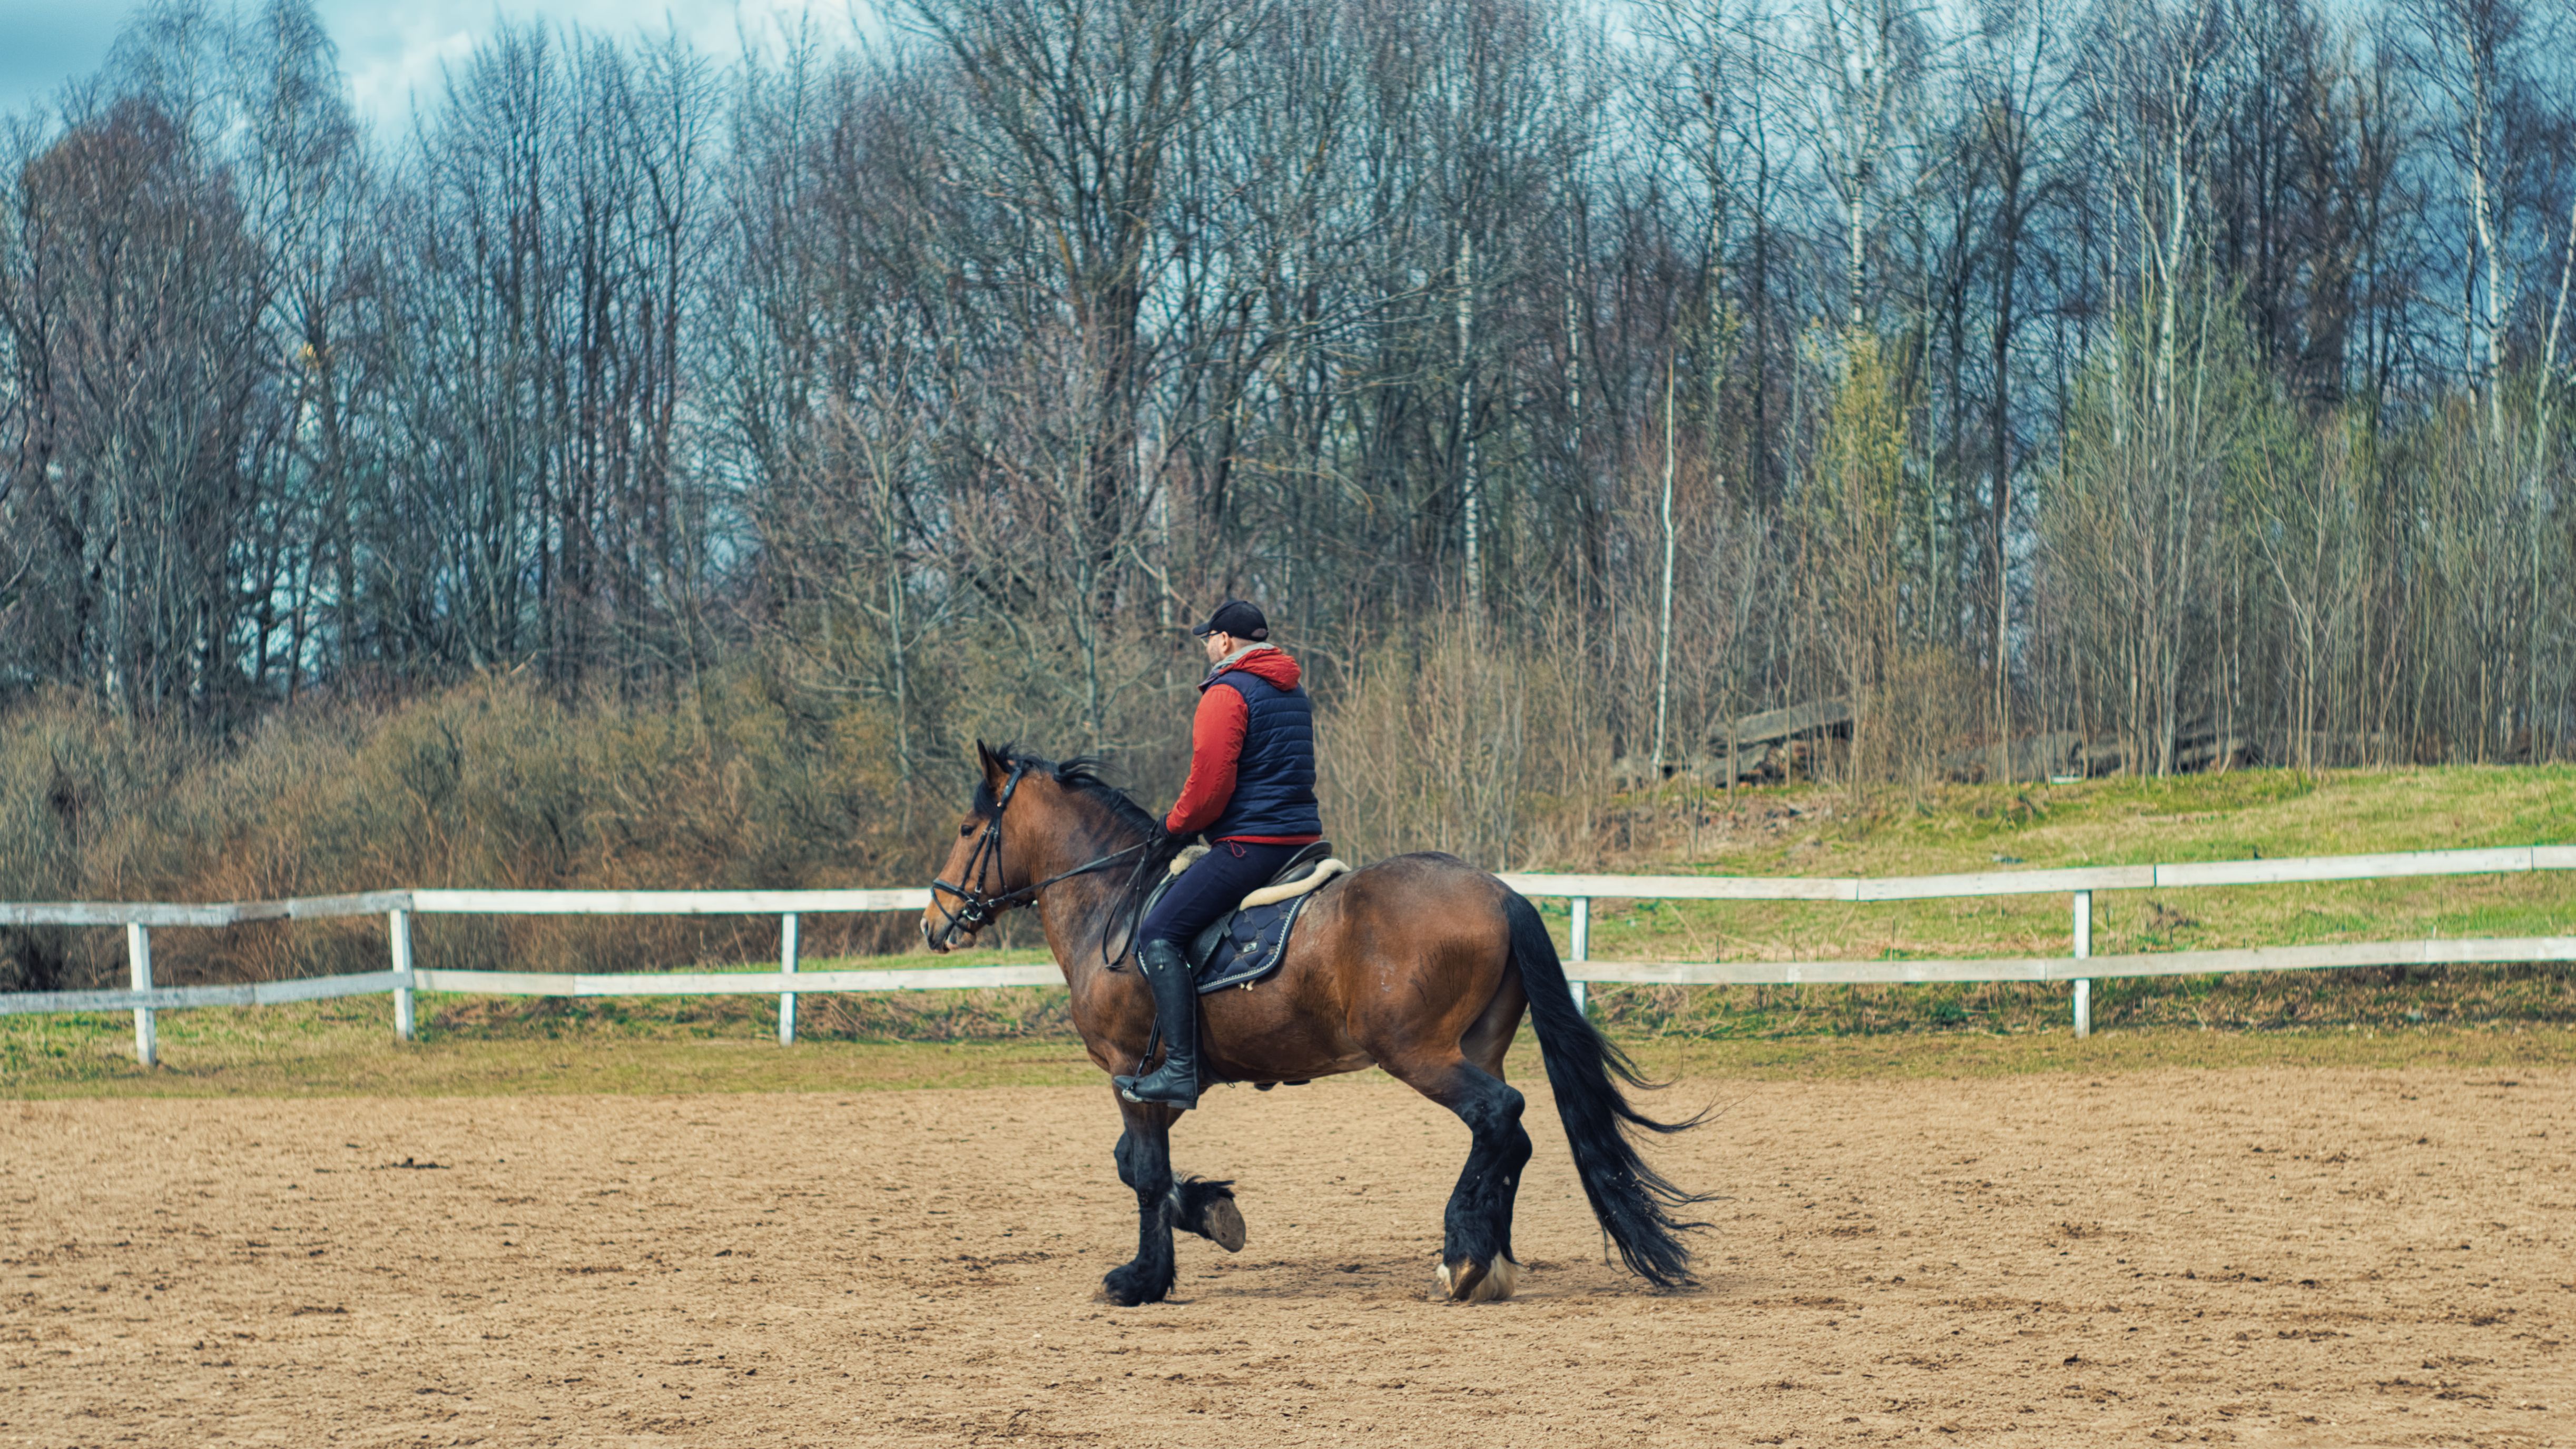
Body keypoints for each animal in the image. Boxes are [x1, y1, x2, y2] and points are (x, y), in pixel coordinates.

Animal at [921, 742, 1709, 1305]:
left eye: (966, 829)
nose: (934, 922)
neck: (1111, 899)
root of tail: (1498, 890)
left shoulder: (1129, 1070)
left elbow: (1143, 1173)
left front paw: (1141, 1279)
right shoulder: (1161, 1081)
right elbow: (1136, 1163)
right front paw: (1212, 1212)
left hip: (1418, 1052)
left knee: (1499, 1115)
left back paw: (1462, 1257)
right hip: (1474, 1044)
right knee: (1509, 1138)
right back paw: (1487, 1264)